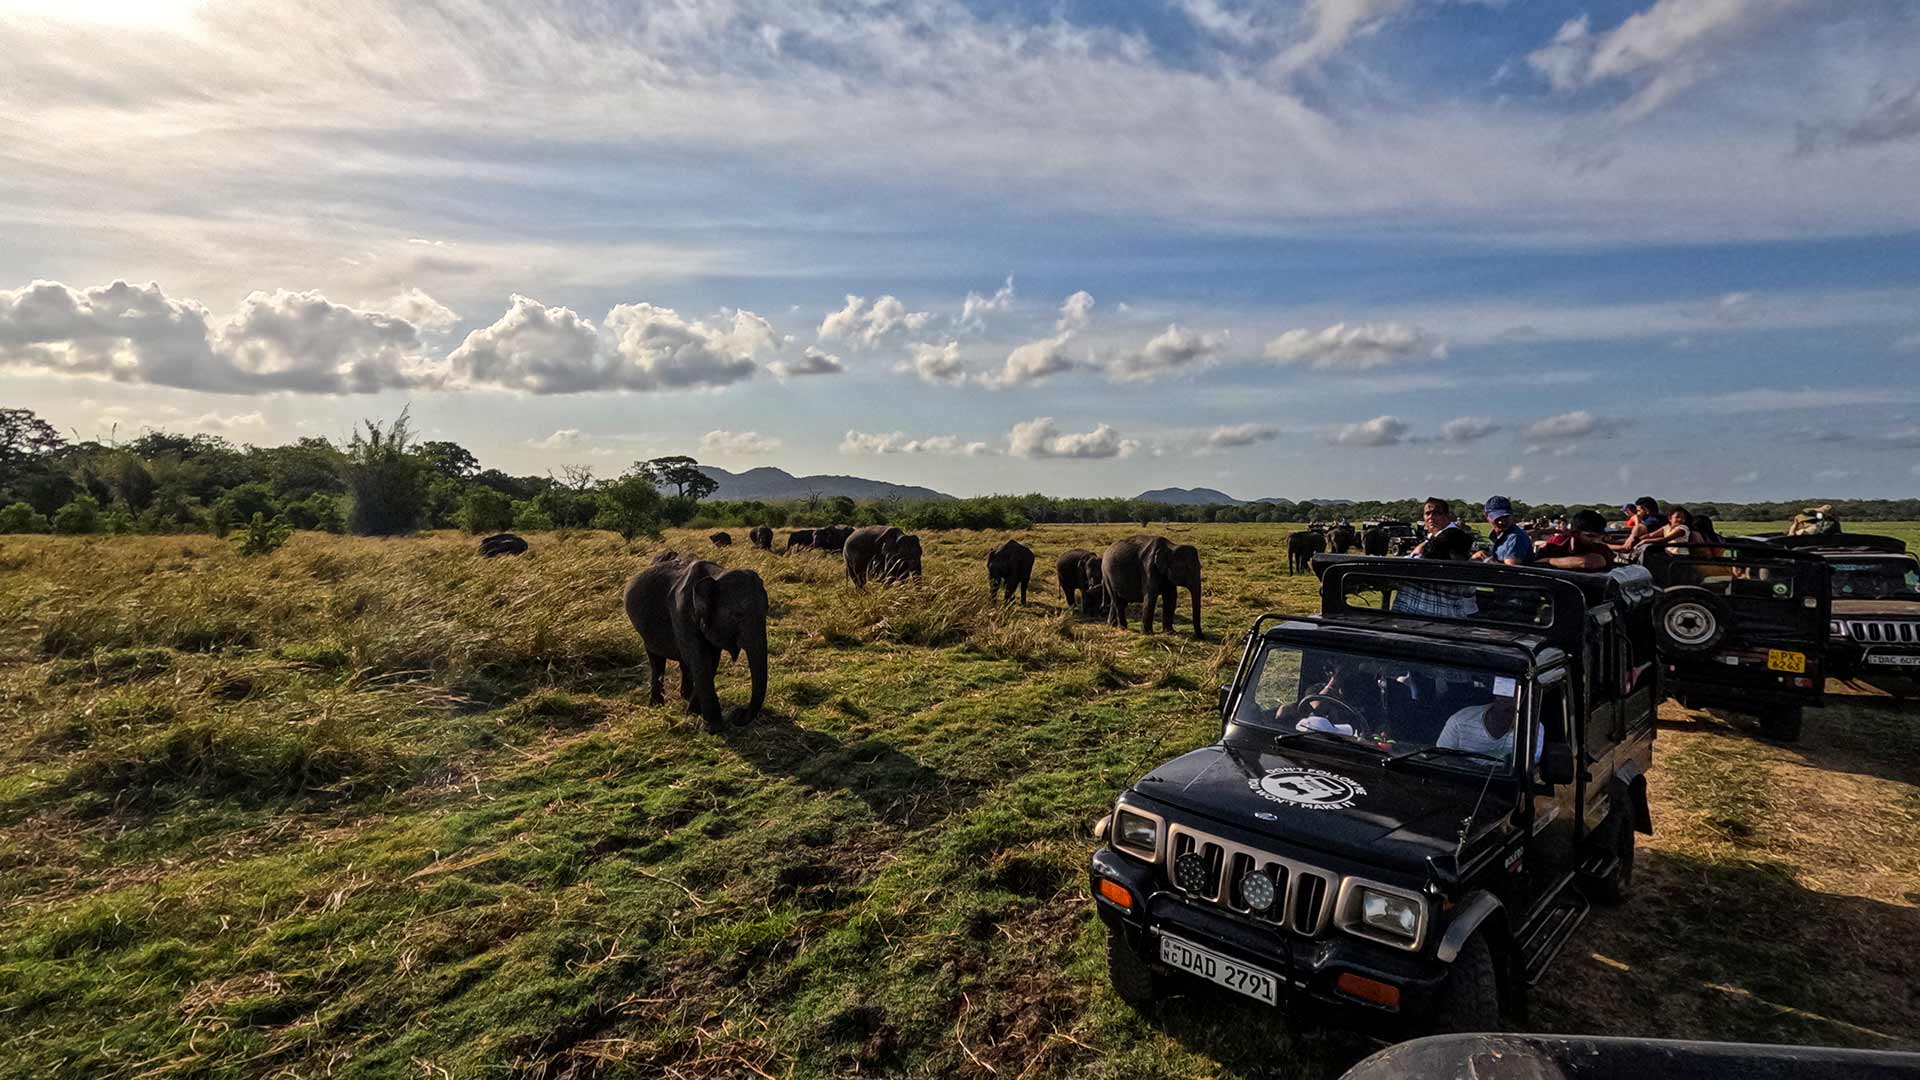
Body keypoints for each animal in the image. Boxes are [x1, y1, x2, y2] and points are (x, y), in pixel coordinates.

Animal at [623, 554, 769, 732]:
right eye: (737, 615)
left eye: (767, 611)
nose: (738, 713)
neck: (718, 575)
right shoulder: (681, 613)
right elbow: (700, 659)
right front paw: (712, 726)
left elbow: (710, 661)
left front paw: (694, 714)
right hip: (645, 631)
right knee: (656, 660)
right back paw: (656, 705)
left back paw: (684, 695)